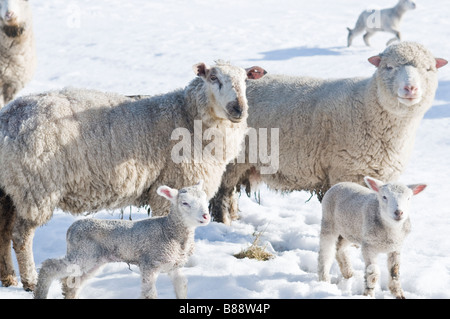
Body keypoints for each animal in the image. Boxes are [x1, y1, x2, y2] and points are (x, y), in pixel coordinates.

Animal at [34, 182, 210, 300]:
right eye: (185, 203)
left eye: (206, 201)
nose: (206, 216)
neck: (169, 230)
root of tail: (71, 228)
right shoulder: (149, 263)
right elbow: (150, 294)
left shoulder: (173, 265)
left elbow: (182, 286)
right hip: (83, 253)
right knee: (49, 267)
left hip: (95, 259)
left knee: (73, 282)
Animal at [210, 42, 446, 226]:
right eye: (389, 67)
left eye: (428, 69)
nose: (410, 89)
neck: (368, 105)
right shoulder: (346, 171)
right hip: (230, 158)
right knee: (221, 193)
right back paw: (224, 223)